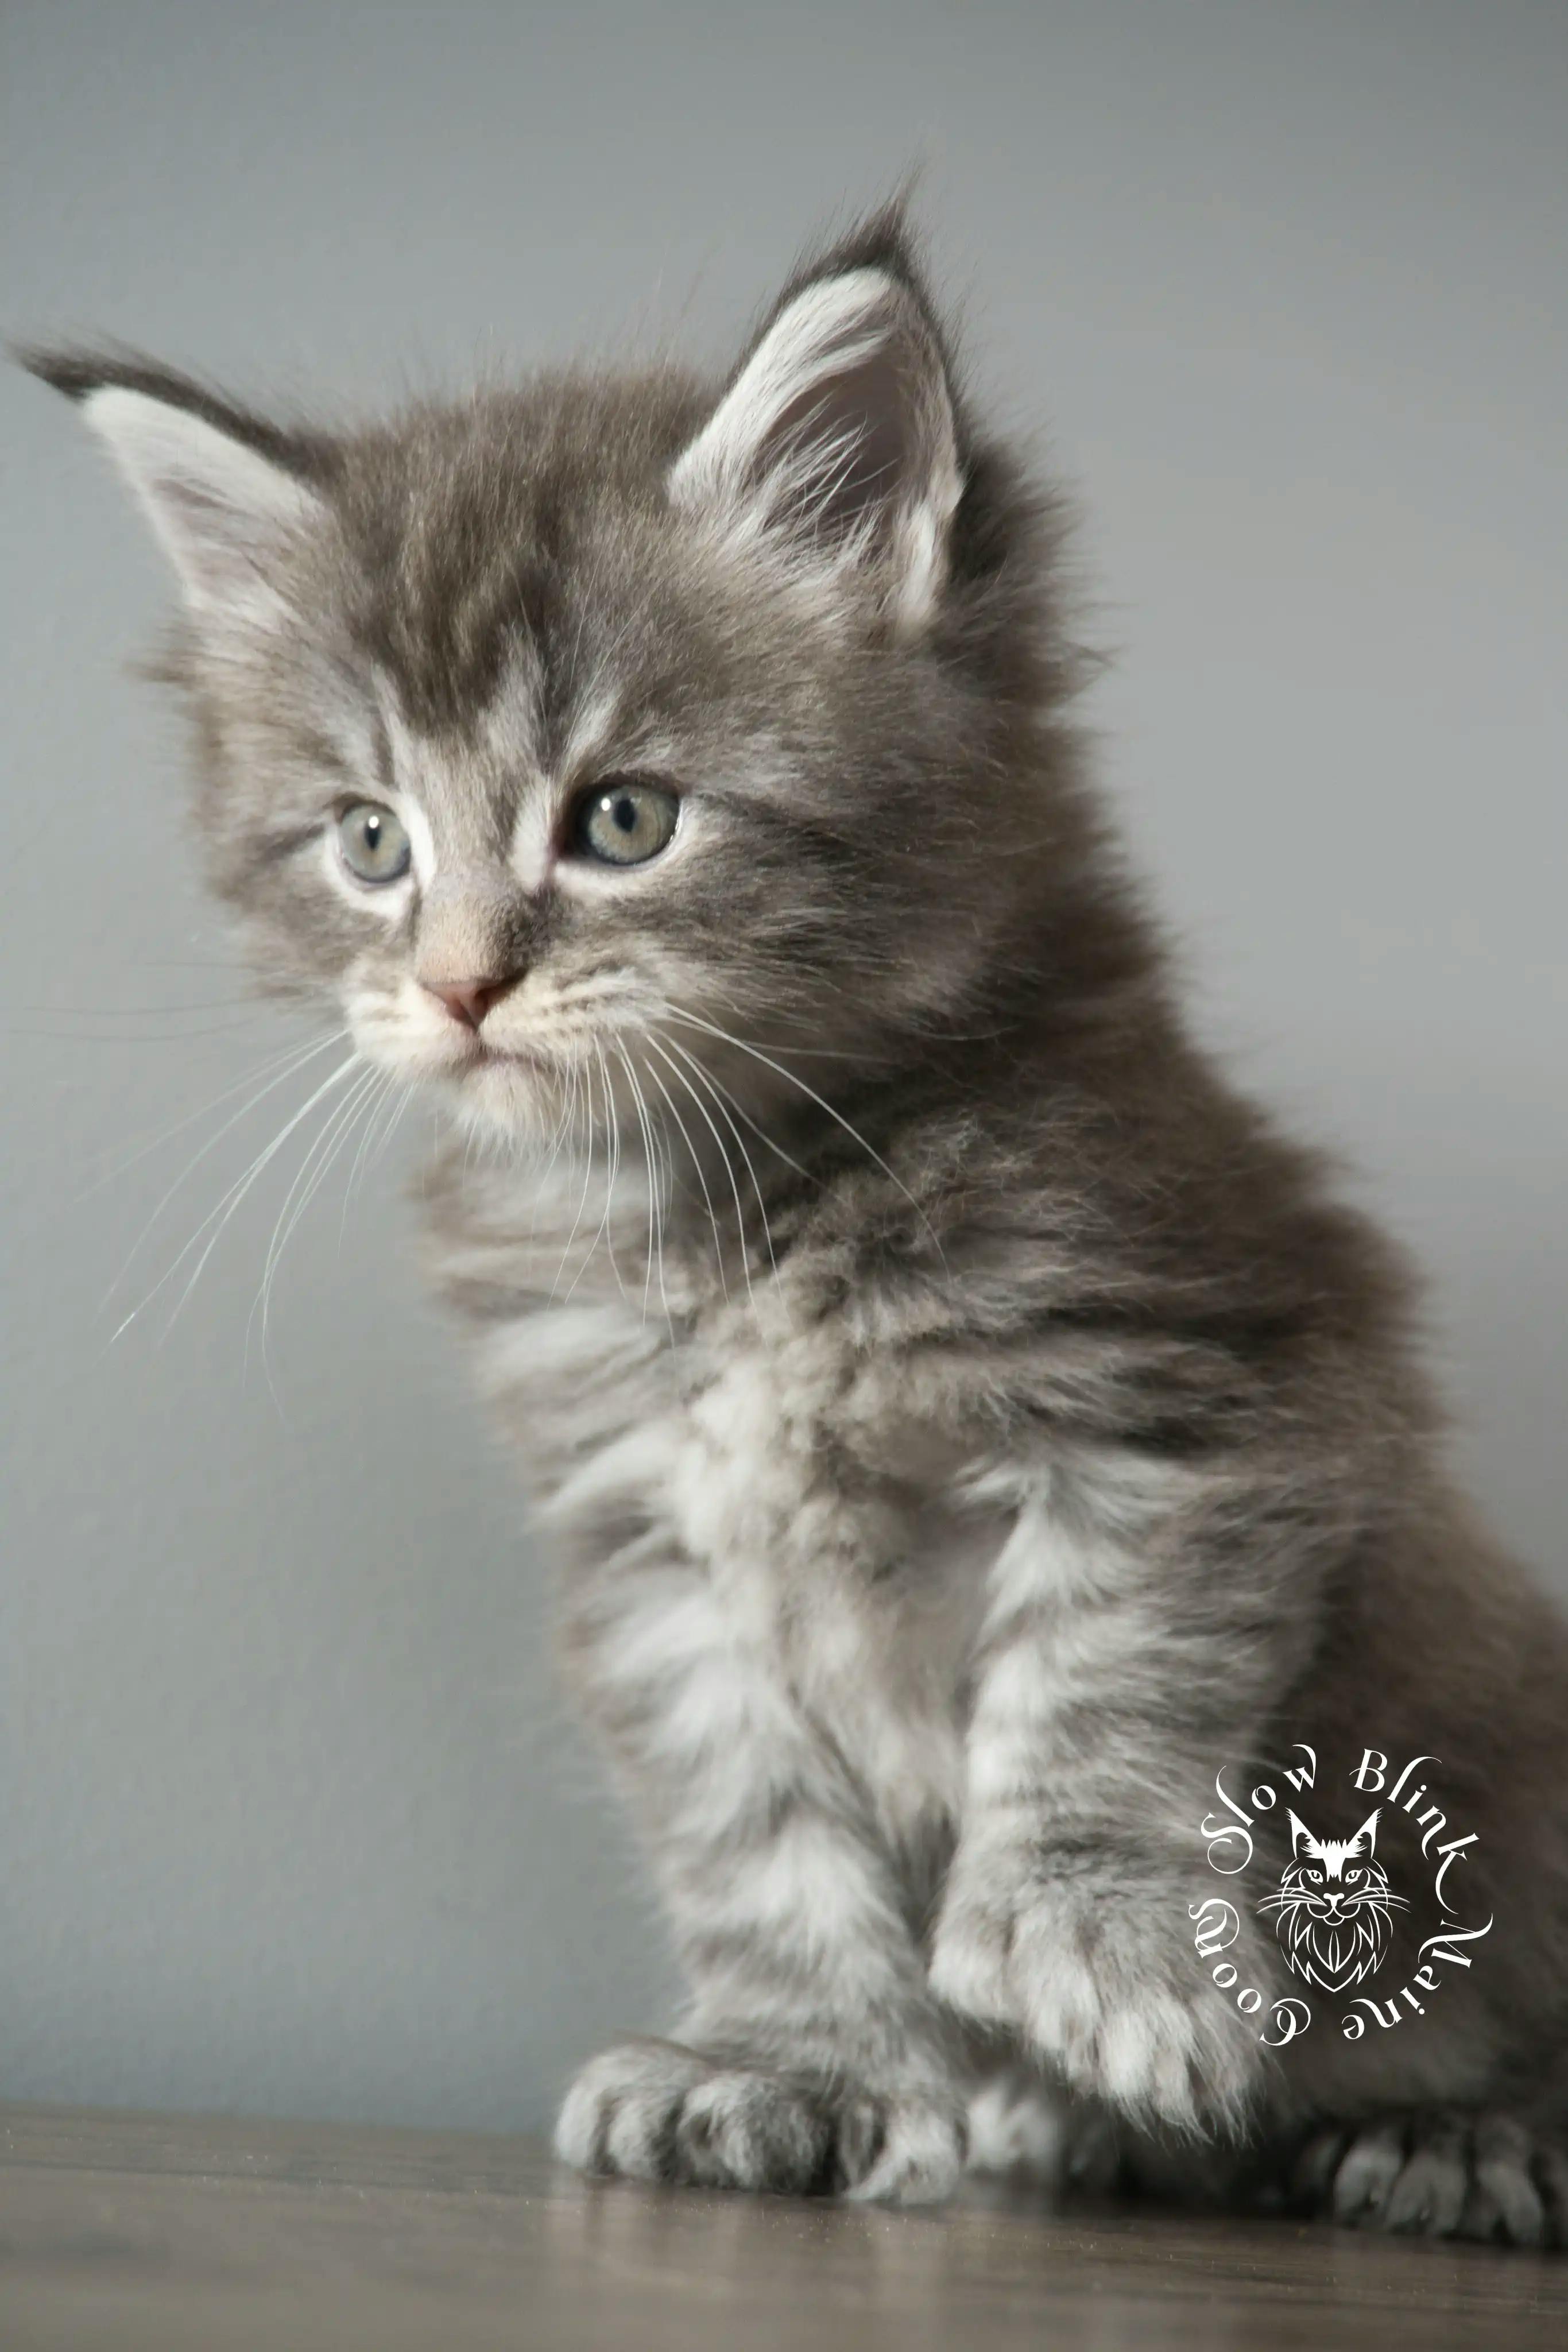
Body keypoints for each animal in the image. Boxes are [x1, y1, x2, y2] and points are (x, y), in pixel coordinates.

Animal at [28, 207, 1568, 2239]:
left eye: (621, 819)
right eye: (369, 843)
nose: (455, 988)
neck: (732, 1222)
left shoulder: (1201, 1396)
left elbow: (1100, 1690)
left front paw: (1092, 1955)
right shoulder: (648, 1547)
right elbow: (750, 1833)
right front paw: (795, 2071)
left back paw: (1453, 2136)